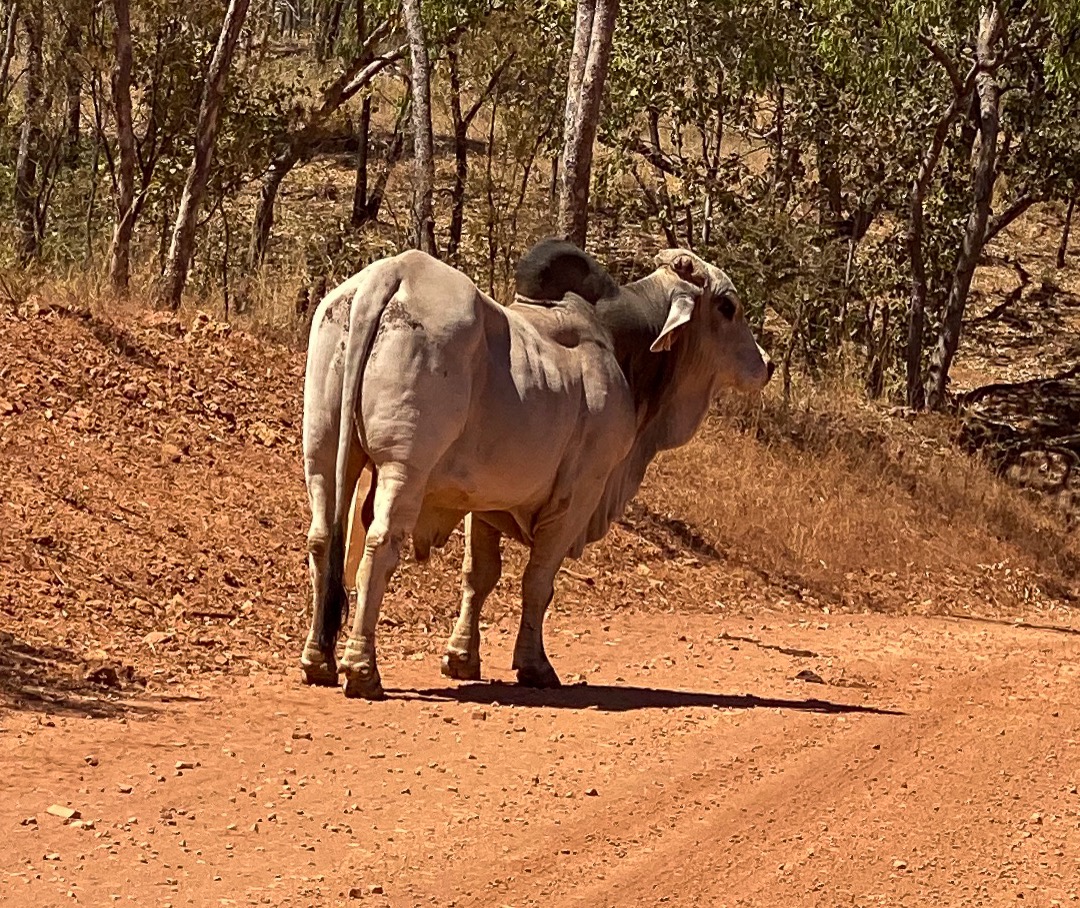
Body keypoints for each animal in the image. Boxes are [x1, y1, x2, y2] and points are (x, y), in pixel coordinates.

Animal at [300, 243, 771, 699]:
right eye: (728, 306)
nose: (765, 363)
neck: (621, 345)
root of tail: (392, 272)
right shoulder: (577, 495)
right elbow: (538, 582)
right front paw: (535, 666)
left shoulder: (481, 501)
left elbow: (479, 576)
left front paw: (461, 658)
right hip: (404, 465)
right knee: (379, 545)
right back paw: (362, 670)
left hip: (321, 451)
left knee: (323, 540)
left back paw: (319, 660)